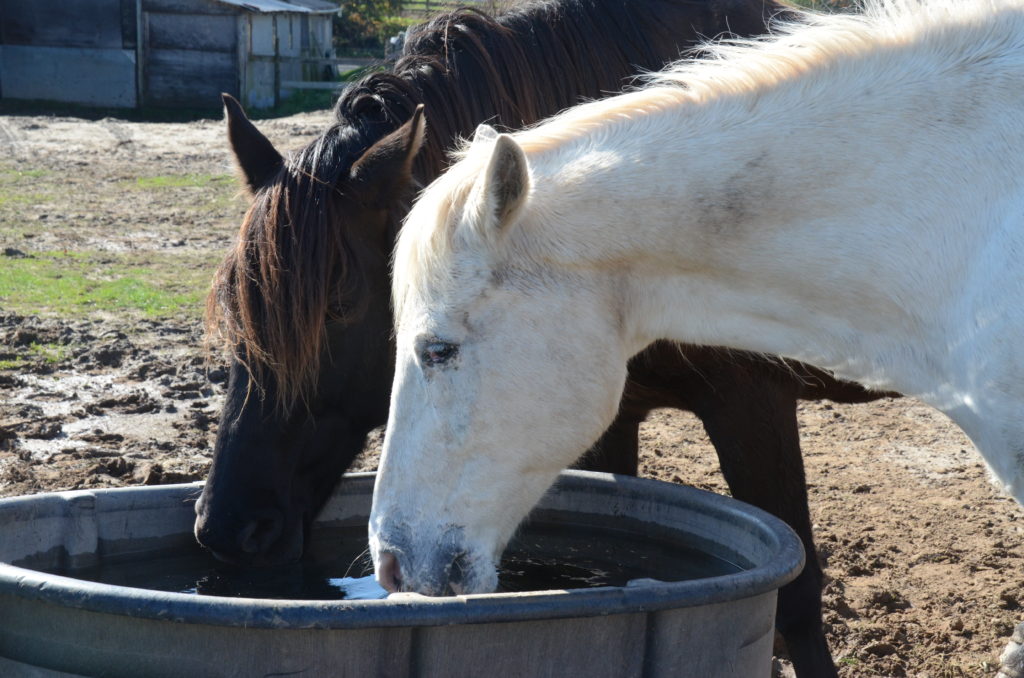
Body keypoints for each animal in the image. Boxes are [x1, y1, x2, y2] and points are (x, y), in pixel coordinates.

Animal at [196, 1, 873, 674]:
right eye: (234, 306)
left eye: (339, 306)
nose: (227, 530)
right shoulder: (607, 418)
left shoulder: (752, 408)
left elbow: (798, 599)